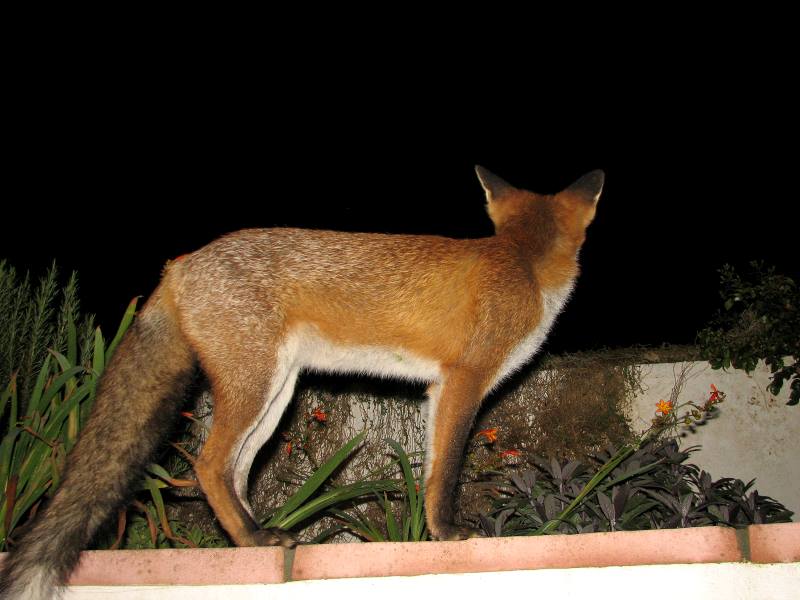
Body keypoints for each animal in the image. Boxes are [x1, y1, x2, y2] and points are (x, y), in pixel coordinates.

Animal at [0, 166, 603, 598]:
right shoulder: (466, 379)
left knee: (236, 473)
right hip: (255, 386)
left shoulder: (438, 390)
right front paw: (446, 533)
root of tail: (181, 263)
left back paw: (255, 540)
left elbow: (432, 467)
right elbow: (447, 471)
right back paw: (249, 539)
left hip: (276, 392)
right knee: (208, 466)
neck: (521, 261)